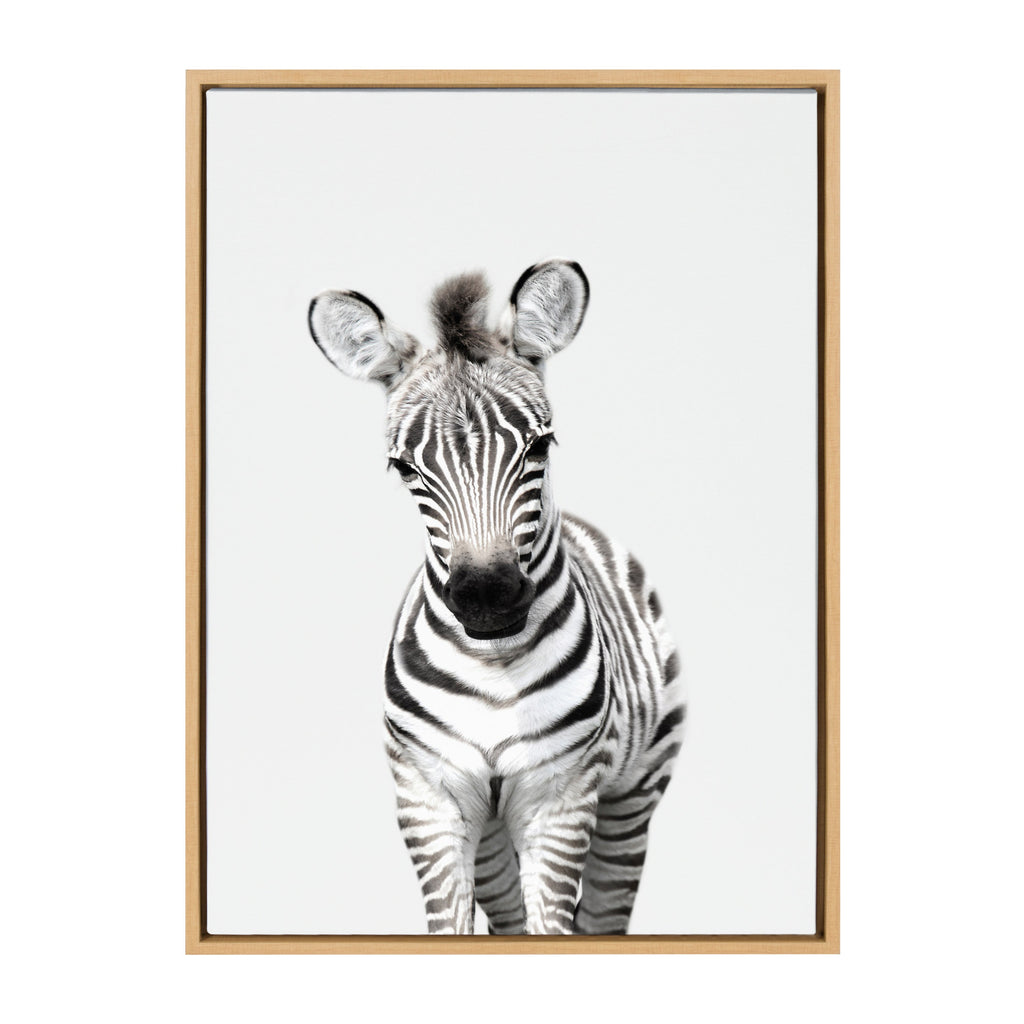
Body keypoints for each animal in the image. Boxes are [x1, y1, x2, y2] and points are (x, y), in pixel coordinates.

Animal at [308, 260, 686, 935]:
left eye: (540, 446)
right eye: (404, 468)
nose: (487, 598)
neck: (494, 668)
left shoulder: (561, 798)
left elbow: (554, 926)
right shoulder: (428, 797)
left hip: (633, 794)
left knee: (603, 915)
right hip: (488, 835)